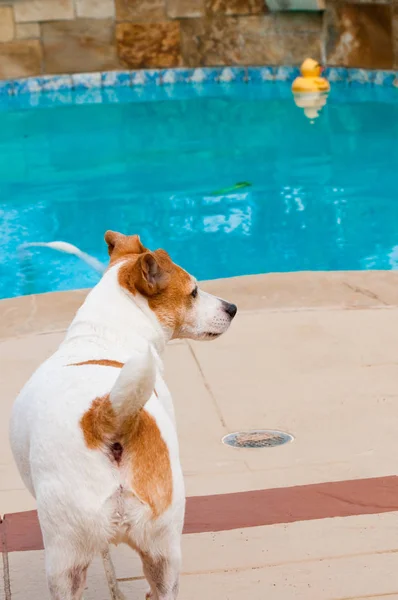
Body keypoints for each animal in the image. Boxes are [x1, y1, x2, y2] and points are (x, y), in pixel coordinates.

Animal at [9, 231, 236, 600]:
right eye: (194, 291)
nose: (232, 308)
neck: (103, 335)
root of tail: (107, 418)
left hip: (68, 557)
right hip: (160, 549)